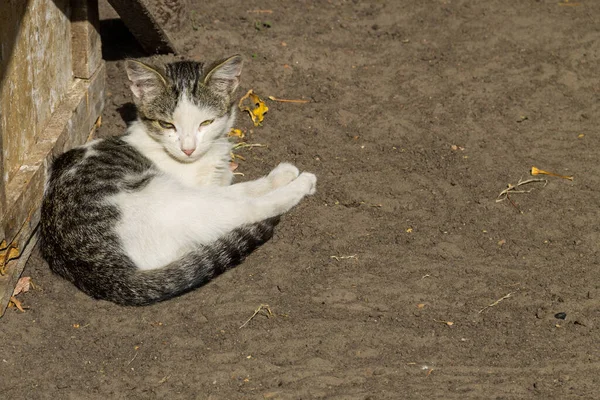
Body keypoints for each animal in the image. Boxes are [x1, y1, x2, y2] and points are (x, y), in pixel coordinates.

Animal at [39, 54, 316, 306]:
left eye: (206, 122)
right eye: (167, 125)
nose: (188, 148)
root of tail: (102, 271)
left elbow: (235, 184)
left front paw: (279, 175)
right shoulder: (200, 188)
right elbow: (240, 191)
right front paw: (285, 178)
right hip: (170, 198)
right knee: (246, 209)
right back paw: (300, 185)